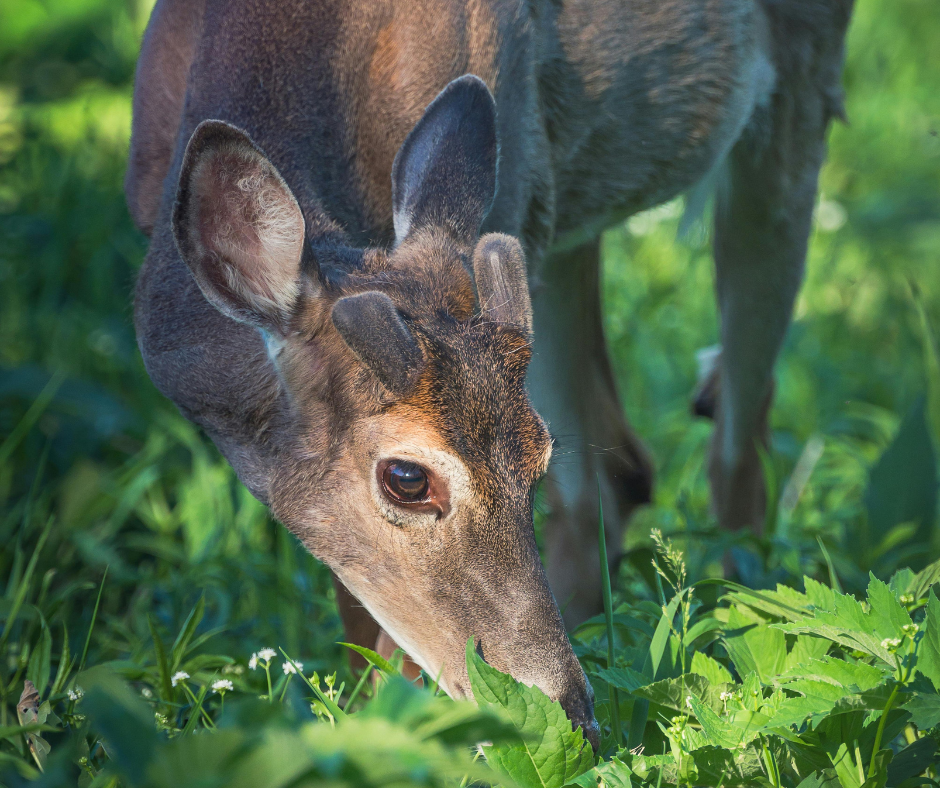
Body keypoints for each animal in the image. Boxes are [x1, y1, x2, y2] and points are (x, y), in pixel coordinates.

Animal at [127, 0, 853, 751]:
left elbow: (396, 659)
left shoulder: (515, 196)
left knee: (738, 449)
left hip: (796, 91)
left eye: (537, 456)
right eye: (407, 477)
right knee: (618, 471)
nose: (572, 713)